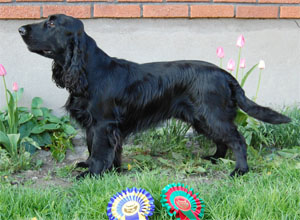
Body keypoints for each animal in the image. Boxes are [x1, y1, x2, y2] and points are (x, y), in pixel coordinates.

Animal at [18, 13, 290, 178]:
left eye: (52, 24)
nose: (20, 29)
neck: (89, 70)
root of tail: (226, 75)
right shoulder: (100, 126)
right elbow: (99, 148)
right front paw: (108, 168)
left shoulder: (103, 124)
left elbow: (98, 150)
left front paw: (91, 173)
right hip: (202, 118)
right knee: (223, 141)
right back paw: (214, 159)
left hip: (211, 115)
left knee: (238, 140)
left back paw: (240, 170)